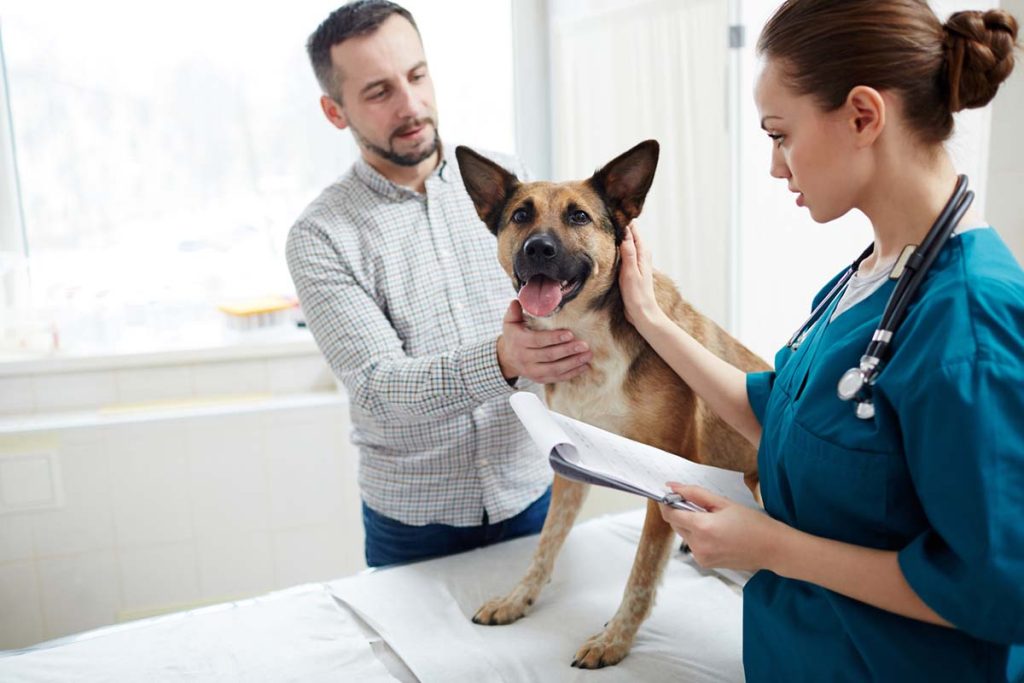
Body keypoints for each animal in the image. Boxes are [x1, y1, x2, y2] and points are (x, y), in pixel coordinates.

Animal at [454, 139, 770, 667]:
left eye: (579, 216)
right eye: (520, 215)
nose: (538, 248)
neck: (588, 336)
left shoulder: (666, 482)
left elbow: (641, 575)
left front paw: (615, 640)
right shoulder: (571, 465)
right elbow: (545, 545)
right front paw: (517, 600)